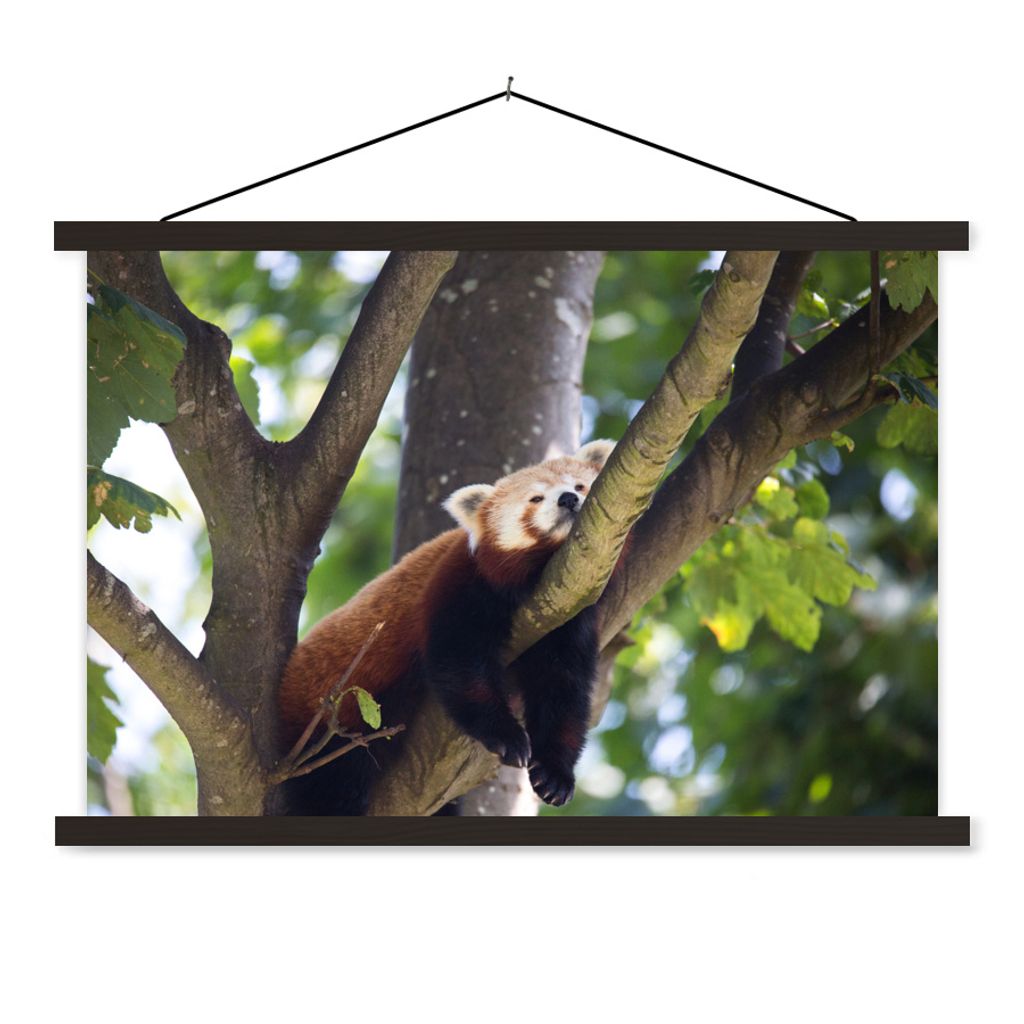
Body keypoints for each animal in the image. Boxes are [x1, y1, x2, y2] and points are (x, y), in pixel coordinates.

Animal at [277, 439, 616, 815]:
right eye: (536, 498)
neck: (541, 575)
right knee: (327, 783)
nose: (568, 499)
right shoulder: (461, 581)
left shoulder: (570, 614)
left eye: (580, 485)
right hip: (326, 725)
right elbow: (458, 662)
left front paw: (555, 773)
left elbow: (563, 689)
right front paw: (507, 736)